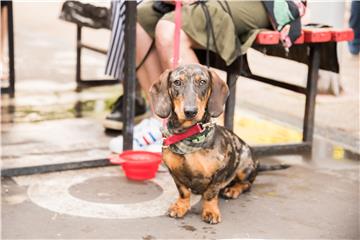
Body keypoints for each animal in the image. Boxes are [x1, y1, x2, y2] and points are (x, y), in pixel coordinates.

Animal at [149, 63, 258, 223]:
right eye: (177, 82)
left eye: (202, 82)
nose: (190, 111)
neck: (189, 135)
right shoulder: (174, 172)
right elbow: (183, 192)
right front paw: (180, 207)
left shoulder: (219, 173)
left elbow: (210, 194)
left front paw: (211, 211)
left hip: (244, 166)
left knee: (247, 184)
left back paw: (233, 189)